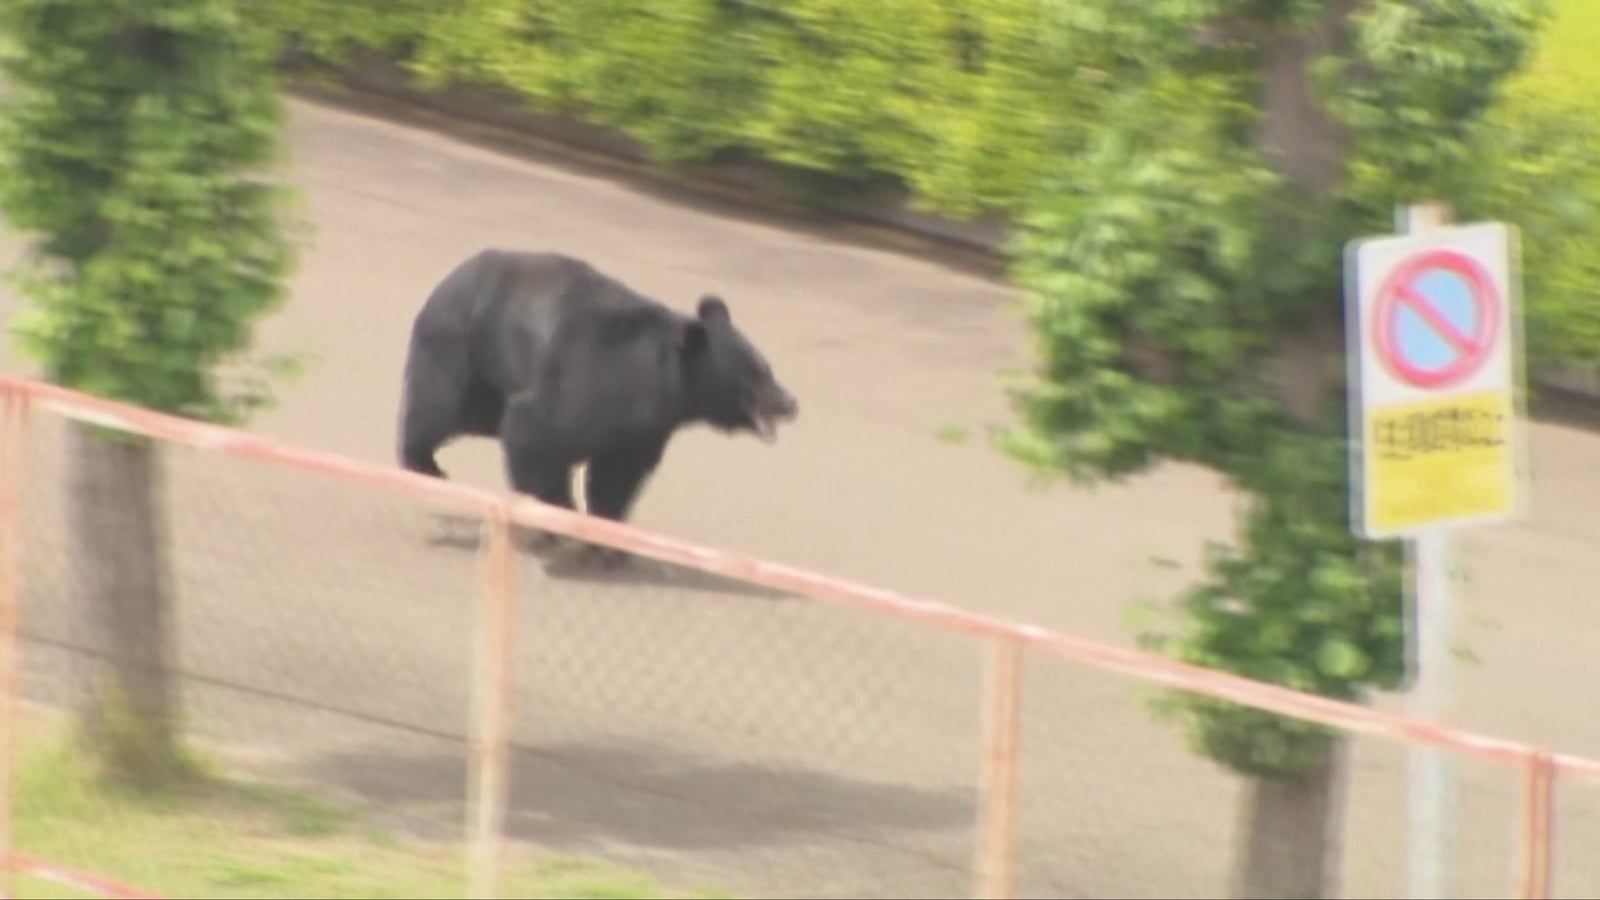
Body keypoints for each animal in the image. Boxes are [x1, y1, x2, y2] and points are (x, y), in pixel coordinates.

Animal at [396, 248, 799, 568]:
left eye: (767, 368)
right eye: (755, 372)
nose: (789, 402)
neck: (662, 380)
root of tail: (454, 274)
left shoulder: (645, 427)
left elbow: (617, 475)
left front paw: (608, 543)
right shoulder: (586, 377)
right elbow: (536, 433)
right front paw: (561, 522)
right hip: (463, 350)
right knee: (441, 407)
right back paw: (425, 466)